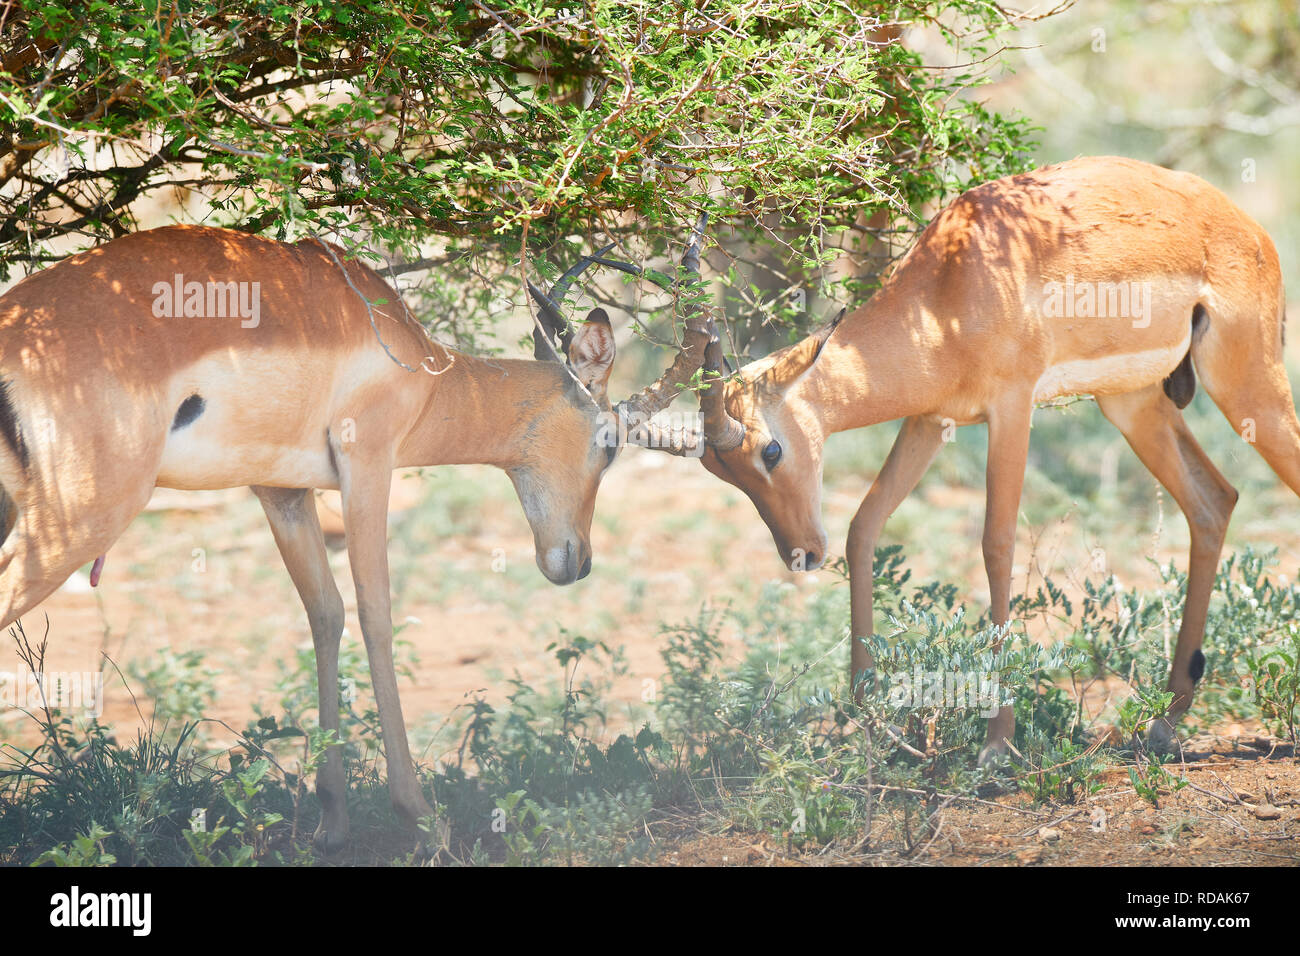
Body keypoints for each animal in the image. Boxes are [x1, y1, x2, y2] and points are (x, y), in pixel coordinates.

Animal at [0, 223, 647, 848]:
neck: (424, 368)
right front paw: (420, 820)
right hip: (79, 520)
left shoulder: (281, 492)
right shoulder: (368, 465)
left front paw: (332, 822)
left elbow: (325, 613)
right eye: (610, 441)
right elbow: (376, 615)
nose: (578, 561)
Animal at [625, 156, 1300, 761]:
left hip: (1247, 386)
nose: (802, 554)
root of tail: (1245, 226)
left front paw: (996, 746)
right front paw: (867, 723)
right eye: (721, 473)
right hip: (1132, 404)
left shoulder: (1012, 409)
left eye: (771, 448)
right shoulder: (930, 420)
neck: (945, 292)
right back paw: (1164, 722)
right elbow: (864, 526)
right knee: (1214, 500)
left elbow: (996, 543)